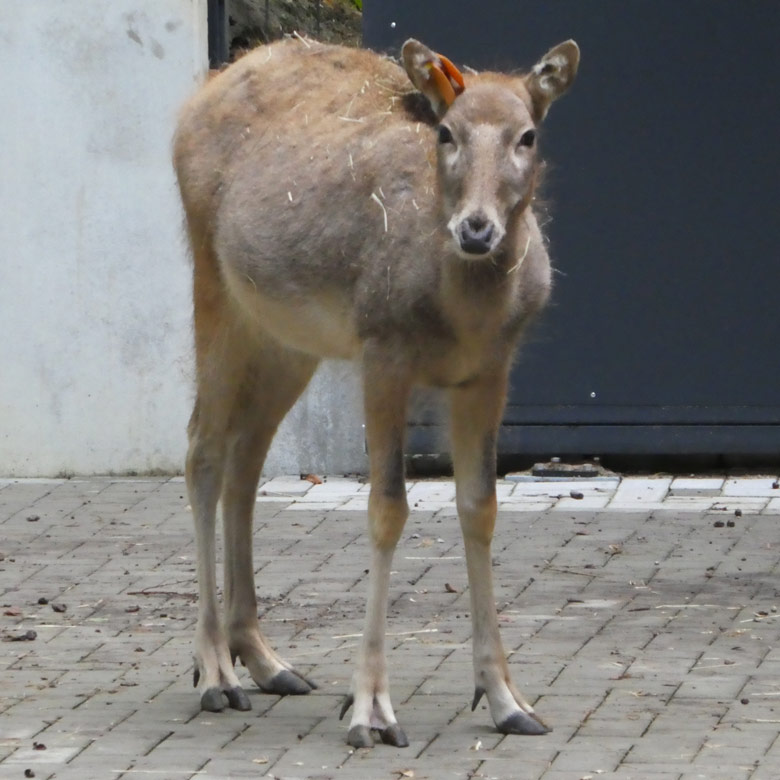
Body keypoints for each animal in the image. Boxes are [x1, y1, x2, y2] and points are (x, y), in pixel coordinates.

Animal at [175, 33, 580, 748]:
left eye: (527, 135)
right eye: (447, 132)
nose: (476, 229)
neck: (465, 312)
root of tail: (200, 94)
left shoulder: (490, 370)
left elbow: (480, 507)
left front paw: (508, 699)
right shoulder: (382, 351)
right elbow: (386, 509)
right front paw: (370, 708)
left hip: (287, 337)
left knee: (246, 461)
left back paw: (266, 660)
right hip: (214, 285)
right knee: (203, 449)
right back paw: (215, 673)